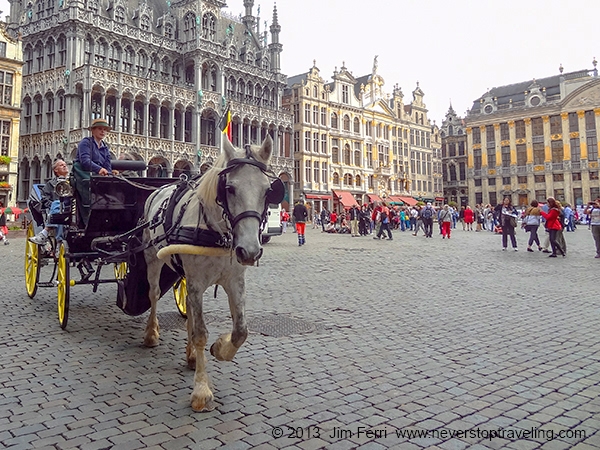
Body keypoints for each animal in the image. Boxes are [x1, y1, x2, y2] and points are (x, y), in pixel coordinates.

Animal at [141, 136, 284, 412]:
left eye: (268, 191)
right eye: (229, 188)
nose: (249, 251)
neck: (218, 233)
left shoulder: (235, 282)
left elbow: (241, 331)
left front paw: (219, 349)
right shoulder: (197, 282)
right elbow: (200, 333)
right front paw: (201, 391)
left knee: (187, 306)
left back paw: (190, 356)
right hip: (152, 257)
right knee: (153, 294)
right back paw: (151, 334)